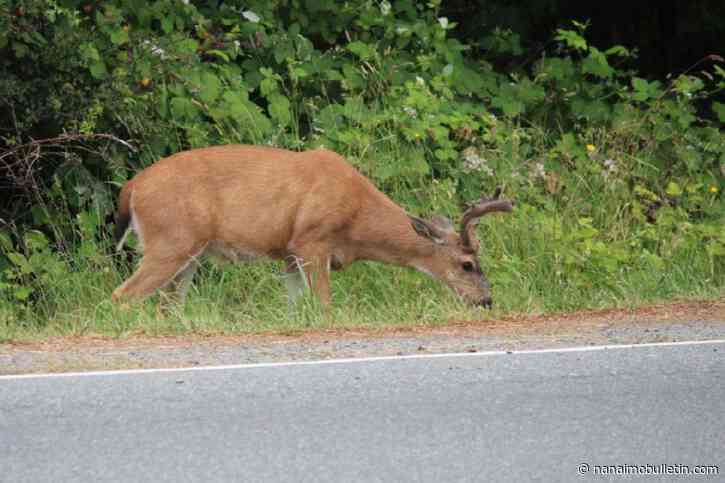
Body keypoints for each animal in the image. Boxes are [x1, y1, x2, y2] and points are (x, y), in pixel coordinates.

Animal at [111, 145, 513, 309]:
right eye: (467, 264)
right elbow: (324, 304)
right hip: (170, 242)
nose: (487, 300)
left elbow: (296, 305)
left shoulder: (288, 254)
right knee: (122, 295)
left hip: (190, 253)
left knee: (168, 304)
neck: (357, 220)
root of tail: (132, 188)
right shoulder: (311, 241)